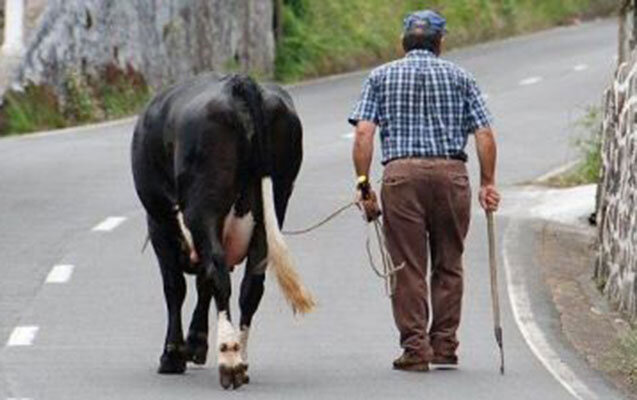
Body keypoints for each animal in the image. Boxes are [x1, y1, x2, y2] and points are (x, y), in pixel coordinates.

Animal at [131, 73, 314, 390]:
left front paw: (173, 355)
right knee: (251, 284)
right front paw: (196, 344)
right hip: (274, 202)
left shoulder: (159, 222)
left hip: (203, 205)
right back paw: (242, 358)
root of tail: (237, 83)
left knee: (217, 270)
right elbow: (202, 284)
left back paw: (230, 362)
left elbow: (175, 287)